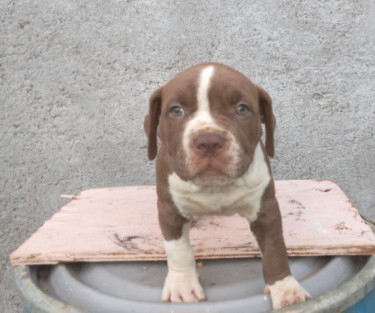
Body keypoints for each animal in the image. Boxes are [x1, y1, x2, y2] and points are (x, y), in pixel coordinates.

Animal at [144, 62, 312, 308]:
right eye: (176, 111)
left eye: (241, 109)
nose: (208, 141)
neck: (215, 186)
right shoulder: (169, 210)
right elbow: (178, 250)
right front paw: (182, 286)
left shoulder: (266, 209)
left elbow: (275, 249)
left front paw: (286, 289)